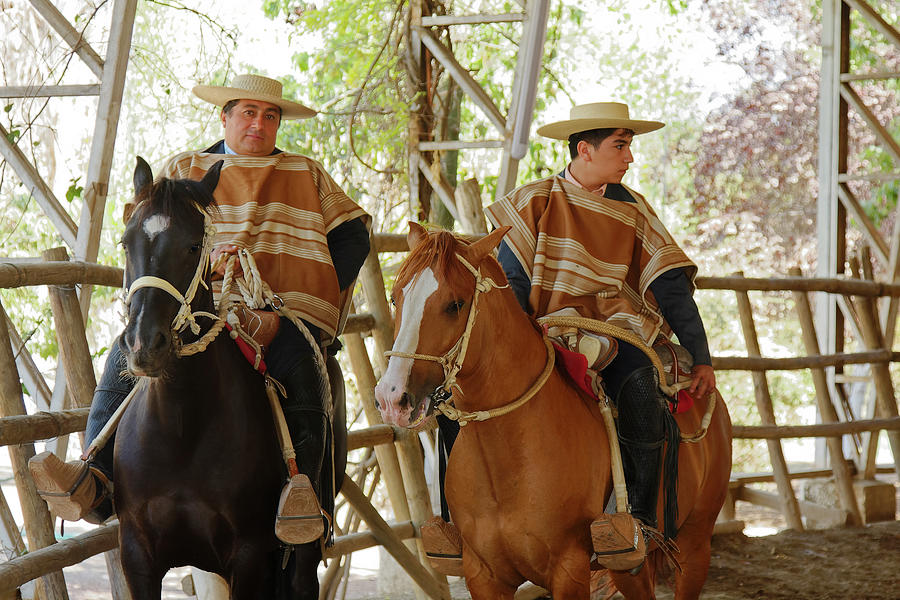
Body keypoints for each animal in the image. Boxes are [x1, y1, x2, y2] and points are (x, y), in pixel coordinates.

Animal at [118, 157, 342, 596]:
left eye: (192, 246)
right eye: (125, 242)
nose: (143, 344)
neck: (182, 430)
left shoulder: (250, 556)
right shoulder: (136, 555)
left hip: (301, 550)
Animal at [372, 225, 732, 600]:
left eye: (455, 304)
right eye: (396, 298)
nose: (392, 398)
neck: (509, 458)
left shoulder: (568, 570)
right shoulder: (482, 574)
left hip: (695, 543)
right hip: (630, 569)